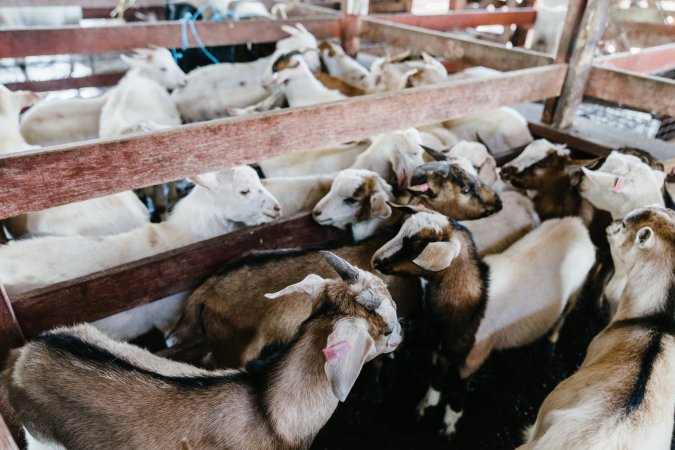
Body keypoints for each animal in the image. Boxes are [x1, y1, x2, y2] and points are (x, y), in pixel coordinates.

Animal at [372, 210, 596, 436]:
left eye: (418, 245)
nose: (376, 261)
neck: (473, 302)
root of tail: (577, 224)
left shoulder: (472, 360)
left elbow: (458, 393)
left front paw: (448, 426)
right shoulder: (440, 348)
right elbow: (436, 377)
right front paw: (426, 406)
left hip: (574, 294)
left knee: (560, 322)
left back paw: (547, 351)